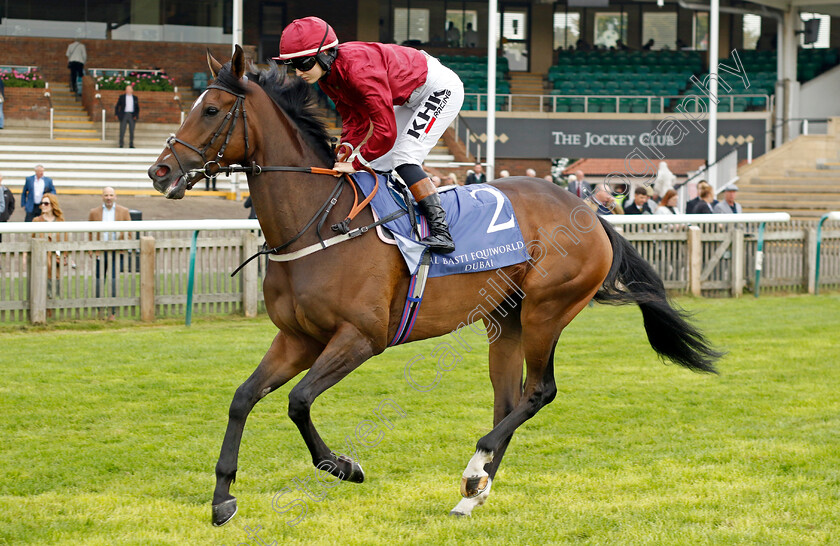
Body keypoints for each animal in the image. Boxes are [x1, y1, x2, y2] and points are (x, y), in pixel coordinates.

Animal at [146, 46, 720, 524]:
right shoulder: (297, 338)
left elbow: (299, 401)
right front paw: (222, 497)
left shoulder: (360, 338)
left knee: (539, 391)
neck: (319, 222)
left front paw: (343, 465)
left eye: (212, 110)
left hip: (547, 310)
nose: (159, 172)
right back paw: (475, 488)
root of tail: (589, 211)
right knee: (508, 399)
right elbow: (243, 398)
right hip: (505, 319)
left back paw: (474, 469)